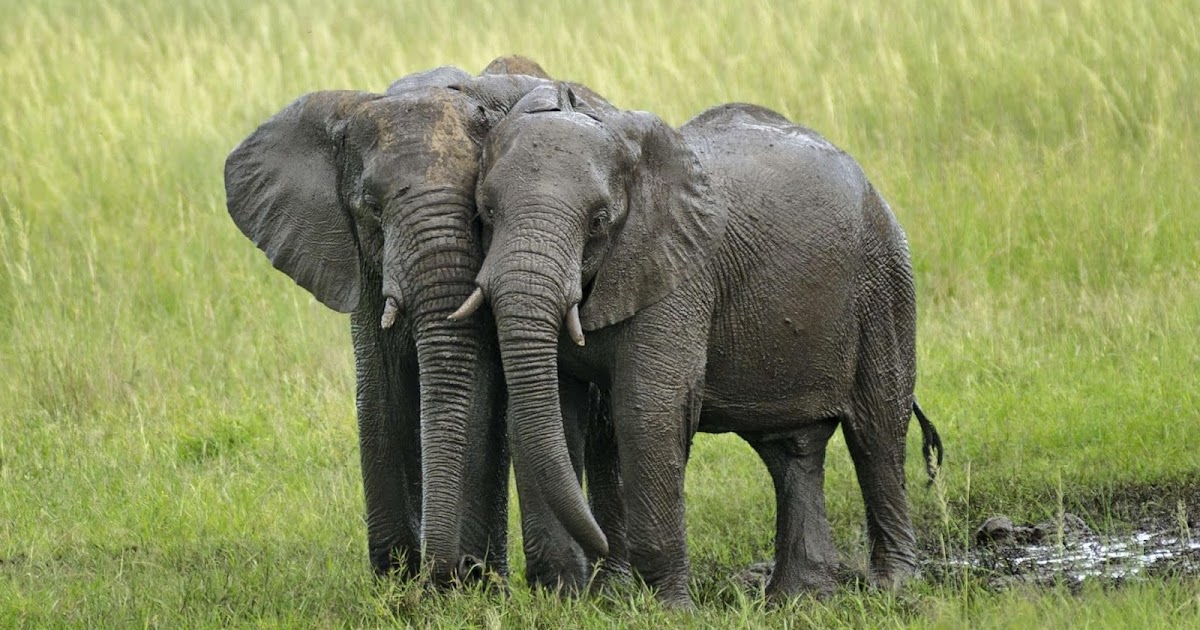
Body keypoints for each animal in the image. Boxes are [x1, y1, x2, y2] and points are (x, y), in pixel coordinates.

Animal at [222, 58, 613, 586]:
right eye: (371, 208)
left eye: (479, 211)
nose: (439, 572)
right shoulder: (363, 267)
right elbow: (380, 391)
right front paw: (396, 578)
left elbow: (476, 391)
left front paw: (461, 583)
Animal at [451, 83, 944, 606]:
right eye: (485, 211)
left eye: (599, 220)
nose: (600, 545)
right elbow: (552, 415)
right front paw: (563, 601)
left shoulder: (679, 274)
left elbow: (648, 411)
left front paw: (668, 609)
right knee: (790, 449)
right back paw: (799, 599)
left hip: (884, 281)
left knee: (877, 432)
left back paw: (893, 588)